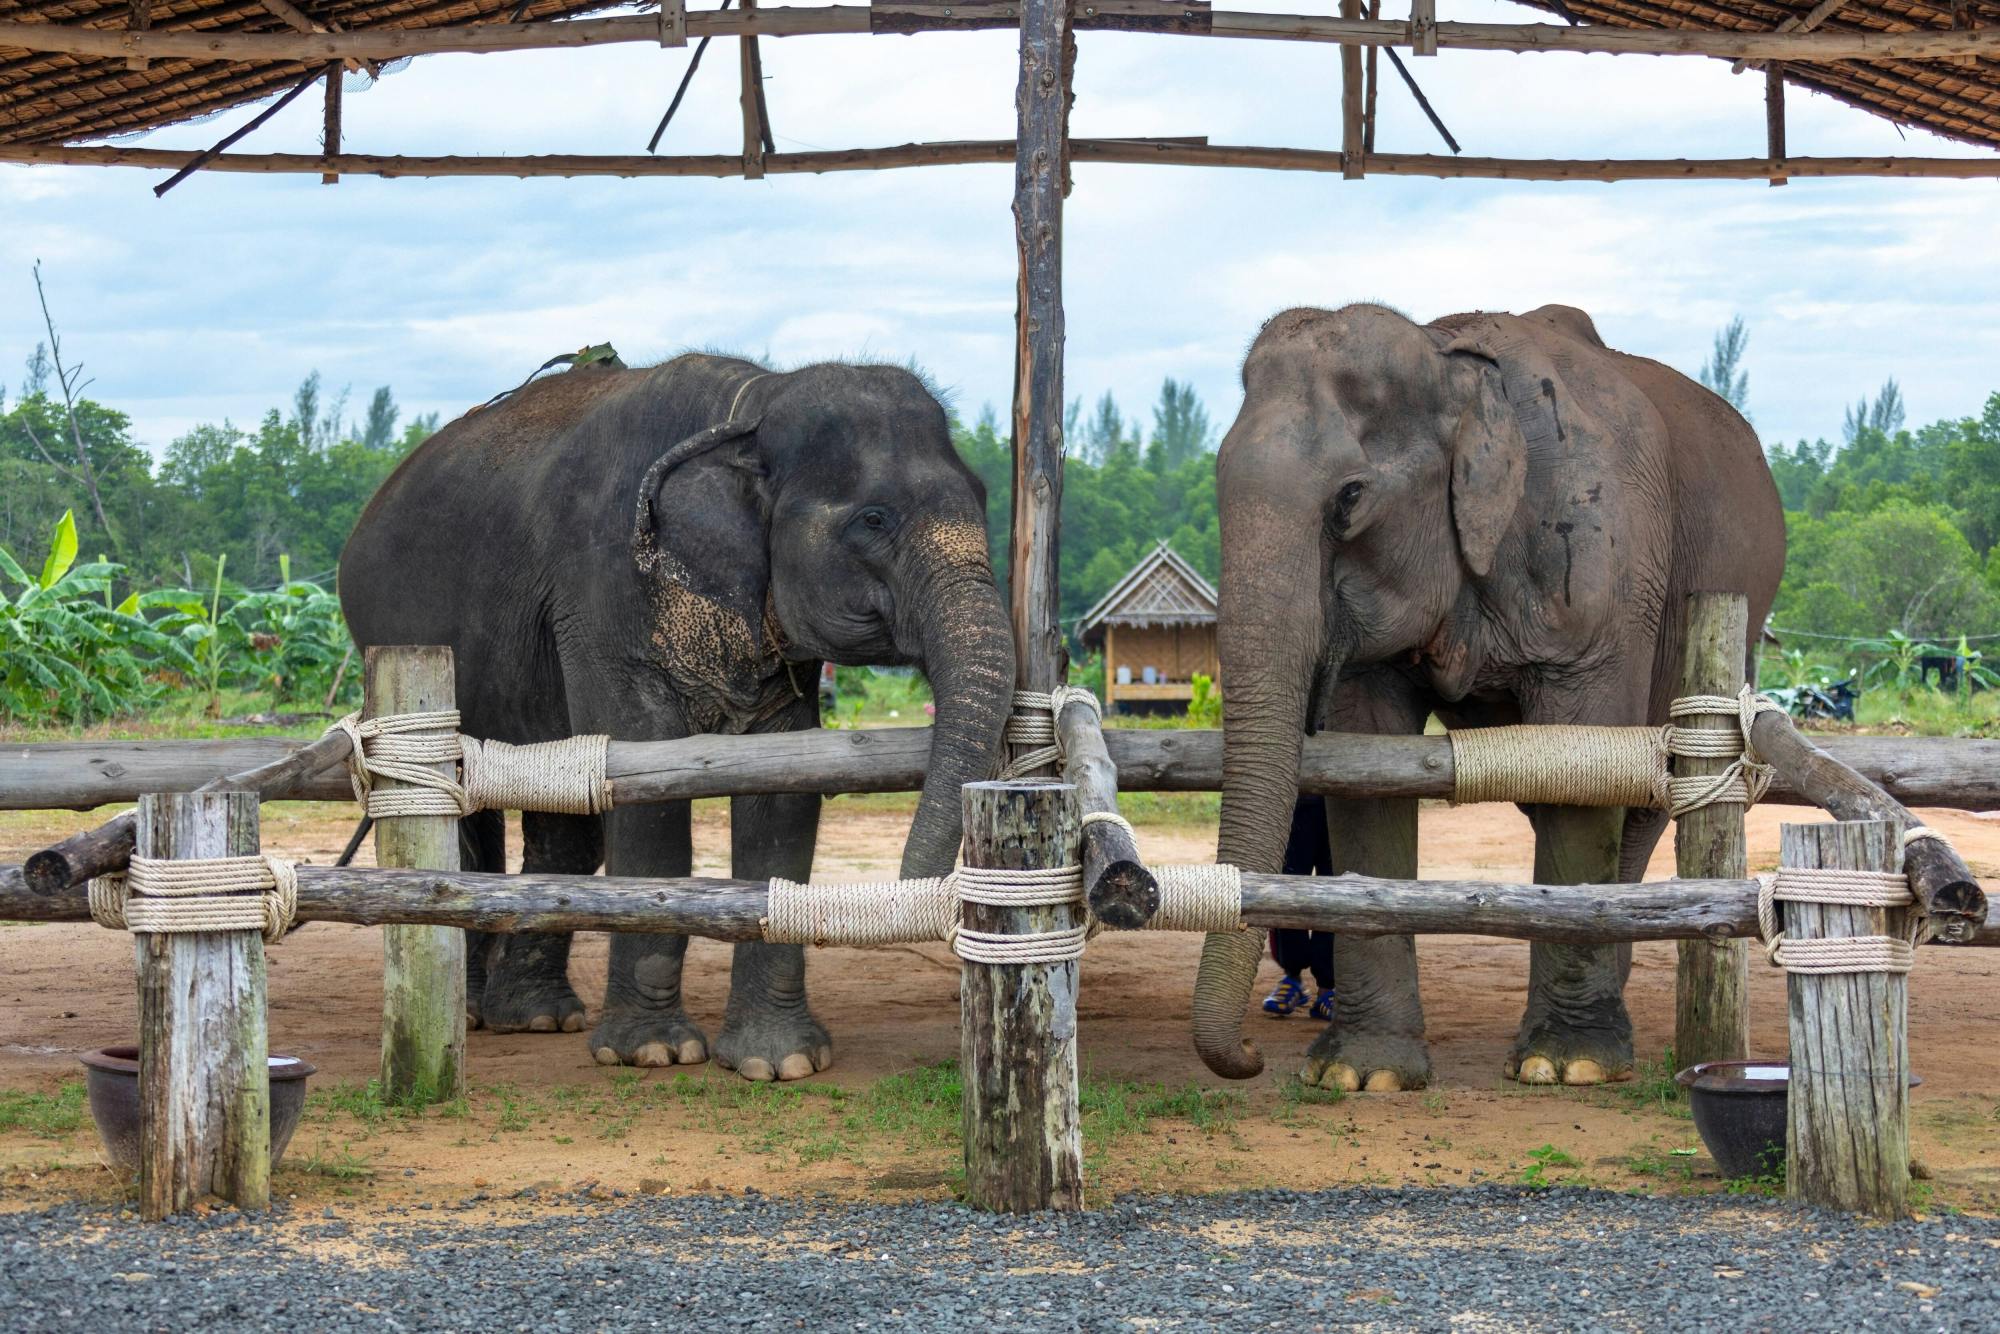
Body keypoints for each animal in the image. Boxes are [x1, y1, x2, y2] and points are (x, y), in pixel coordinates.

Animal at [1192, 306, 1792, 1096]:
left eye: (1349, 498)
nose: (1251, 1056)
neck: (1449, 364)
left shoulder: (1599, 568)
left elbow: (1581, 768)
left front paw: (1565, 1066)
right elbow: (1368, 772)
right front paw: (1362, 1076)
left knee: (1642, 802)